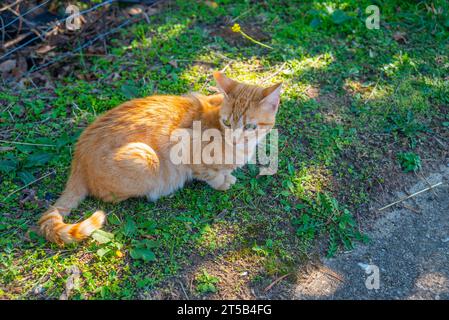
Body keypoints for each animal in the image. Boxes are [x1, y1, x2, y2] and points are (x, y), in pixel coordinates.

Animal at [40, 71, 282, 244]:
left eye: (250, 126)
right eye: (227, 122)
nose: (234, 137)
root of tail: (78, 158)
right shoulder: (186, 149)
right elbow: (208, 173)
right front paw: (222, 181)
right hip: (145, 158)